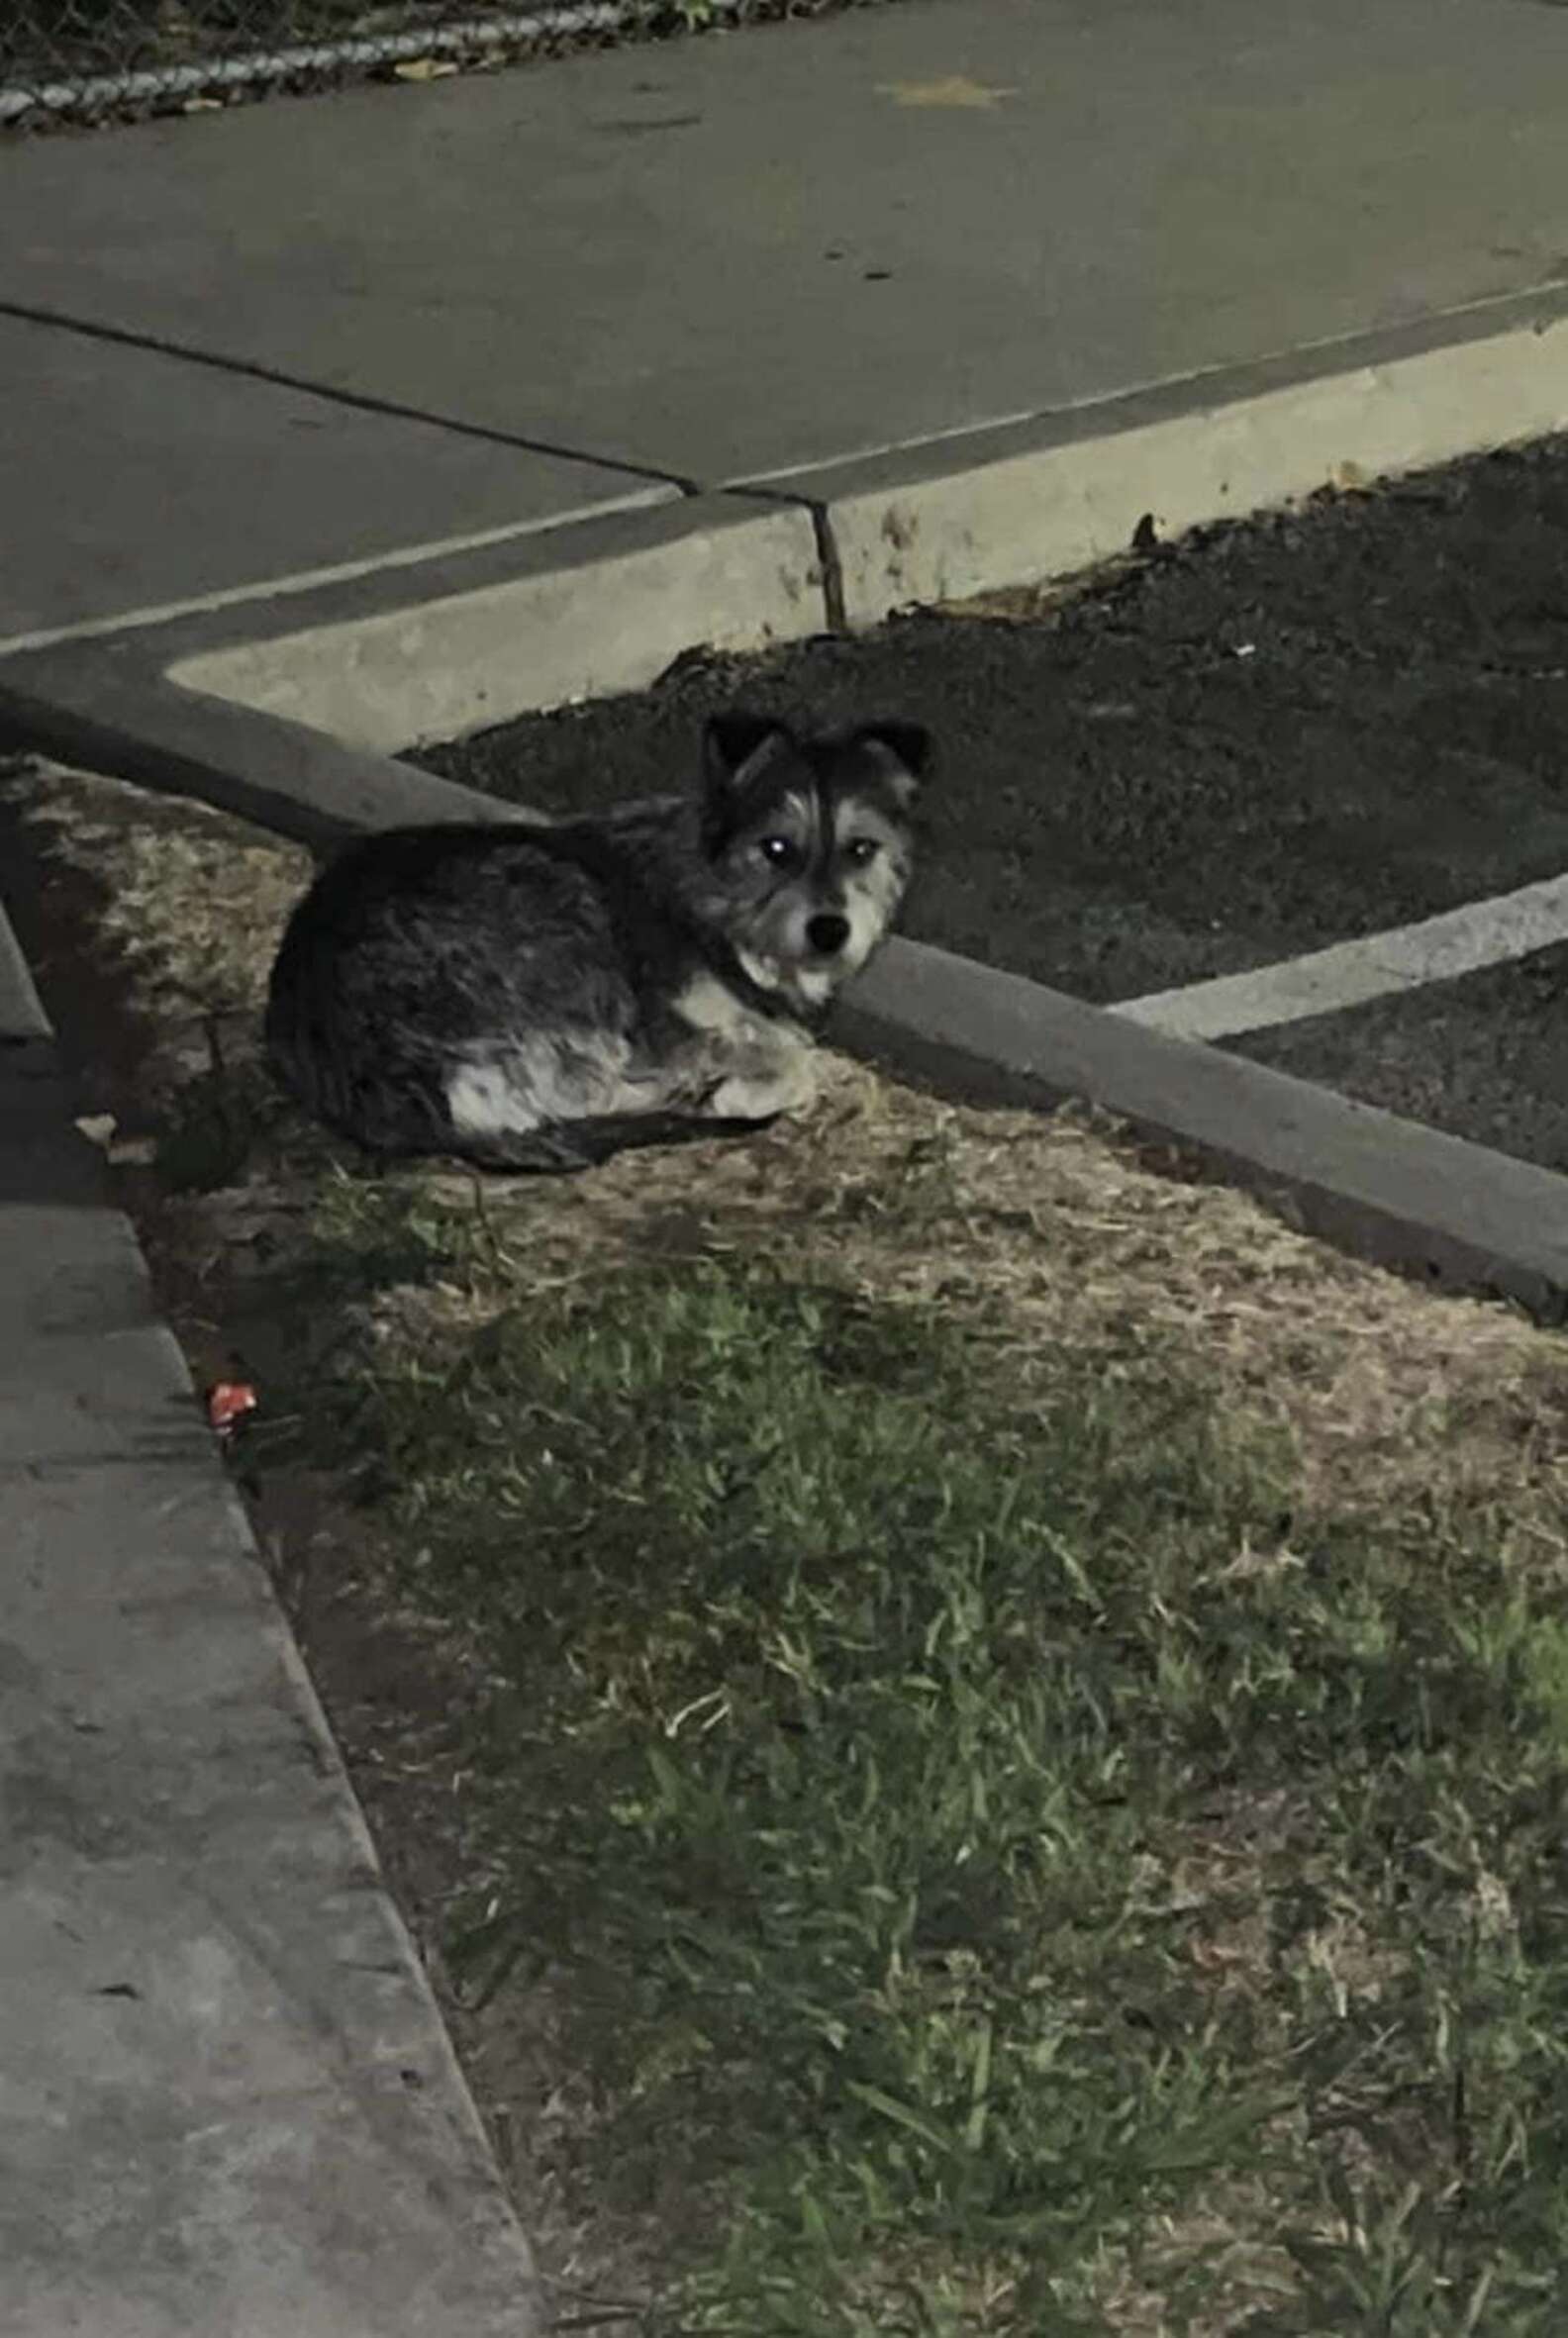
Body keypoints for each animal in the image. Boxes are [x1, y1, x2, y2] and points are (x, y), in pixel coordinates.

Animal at [264, 706, 934, 1169]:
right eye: (776, 848)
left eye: (862, 849)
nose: (830, 931)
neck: (718, 902)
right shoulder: (665, 1029)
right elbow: (794, 1059)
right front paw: (740, 1085)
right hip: (560, 917)